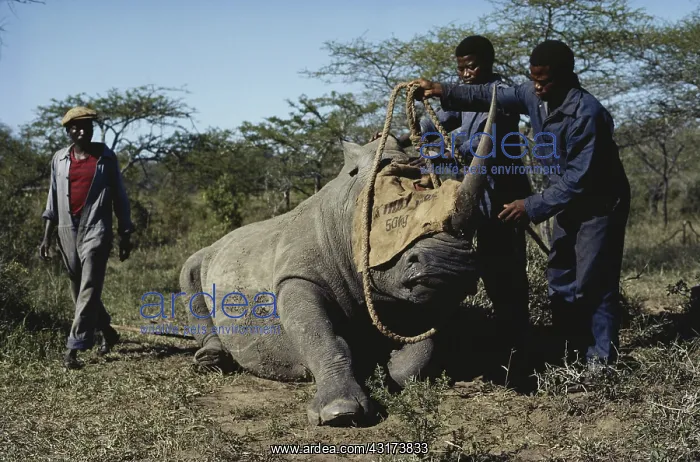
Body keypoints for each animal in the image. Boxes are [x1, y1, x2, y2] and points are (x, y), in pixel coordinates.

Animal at [179, 89, 499, 427]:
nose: (449, 264)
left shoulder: (415, 292)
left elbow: (419, 352)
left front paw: (386, 366)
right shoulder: (297, 277)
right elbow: (321, 336)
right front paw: (341, 412)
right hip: (210, 253)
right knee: (189, 269)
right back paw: (209, 360)